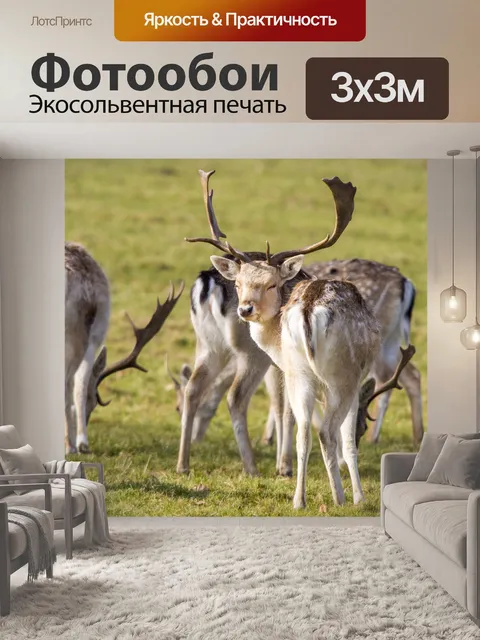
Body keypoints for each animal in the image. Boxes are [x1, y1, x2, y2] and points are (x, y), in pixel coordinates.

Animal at [182, 170, 414, 508]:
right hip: (337, 373)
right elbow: (340, 435)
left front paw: (285, 466)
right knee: (320, 428)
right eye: (238, 283)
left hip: (249, 357)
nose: (245, 308)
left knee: (199, 389)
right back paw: (333, 495)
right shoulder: (348, 379)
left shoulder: (286, 367)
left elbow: (287, 412)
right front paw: (355, 494)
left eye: (271, 284)